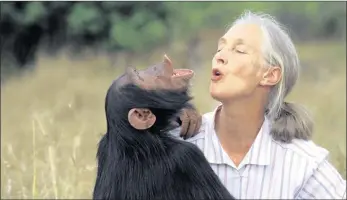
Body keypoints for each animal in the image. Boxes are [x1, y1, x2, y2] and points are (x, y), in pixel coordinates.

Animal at [92, 54, 237, 200]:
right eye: (139, 77)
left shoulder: (104, 146)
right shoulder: (187, 157)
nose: (154, 67)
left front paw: (187, 114)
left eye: (137, 72)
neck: (134, 138)